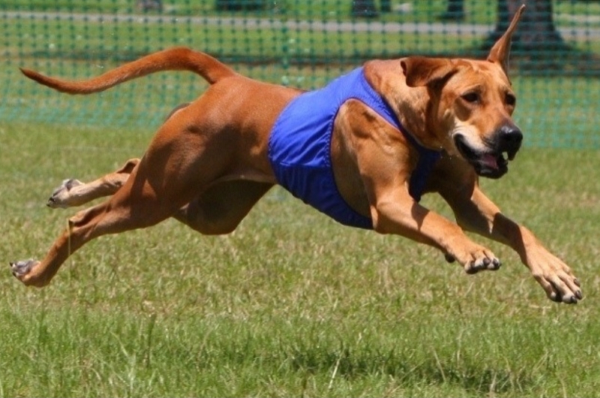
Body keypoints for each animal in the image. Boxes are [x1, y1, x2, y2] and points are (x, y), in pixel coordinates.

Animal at [9, 6, 580, 304]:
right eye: (470, 97)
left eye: (510, 97)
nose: (511, 137)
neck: (417, 120)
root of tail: (229, 80)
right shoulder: (390, 203)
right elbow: (438, 220)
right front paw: (468, 251)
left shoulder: (466, 195)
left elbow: (512, 226)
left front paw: (554, 271)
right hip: (160, 193)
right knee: (87, 223)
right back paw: (40, 271)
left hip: (208, 204)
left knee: (131, 171)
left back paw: (69, 195)